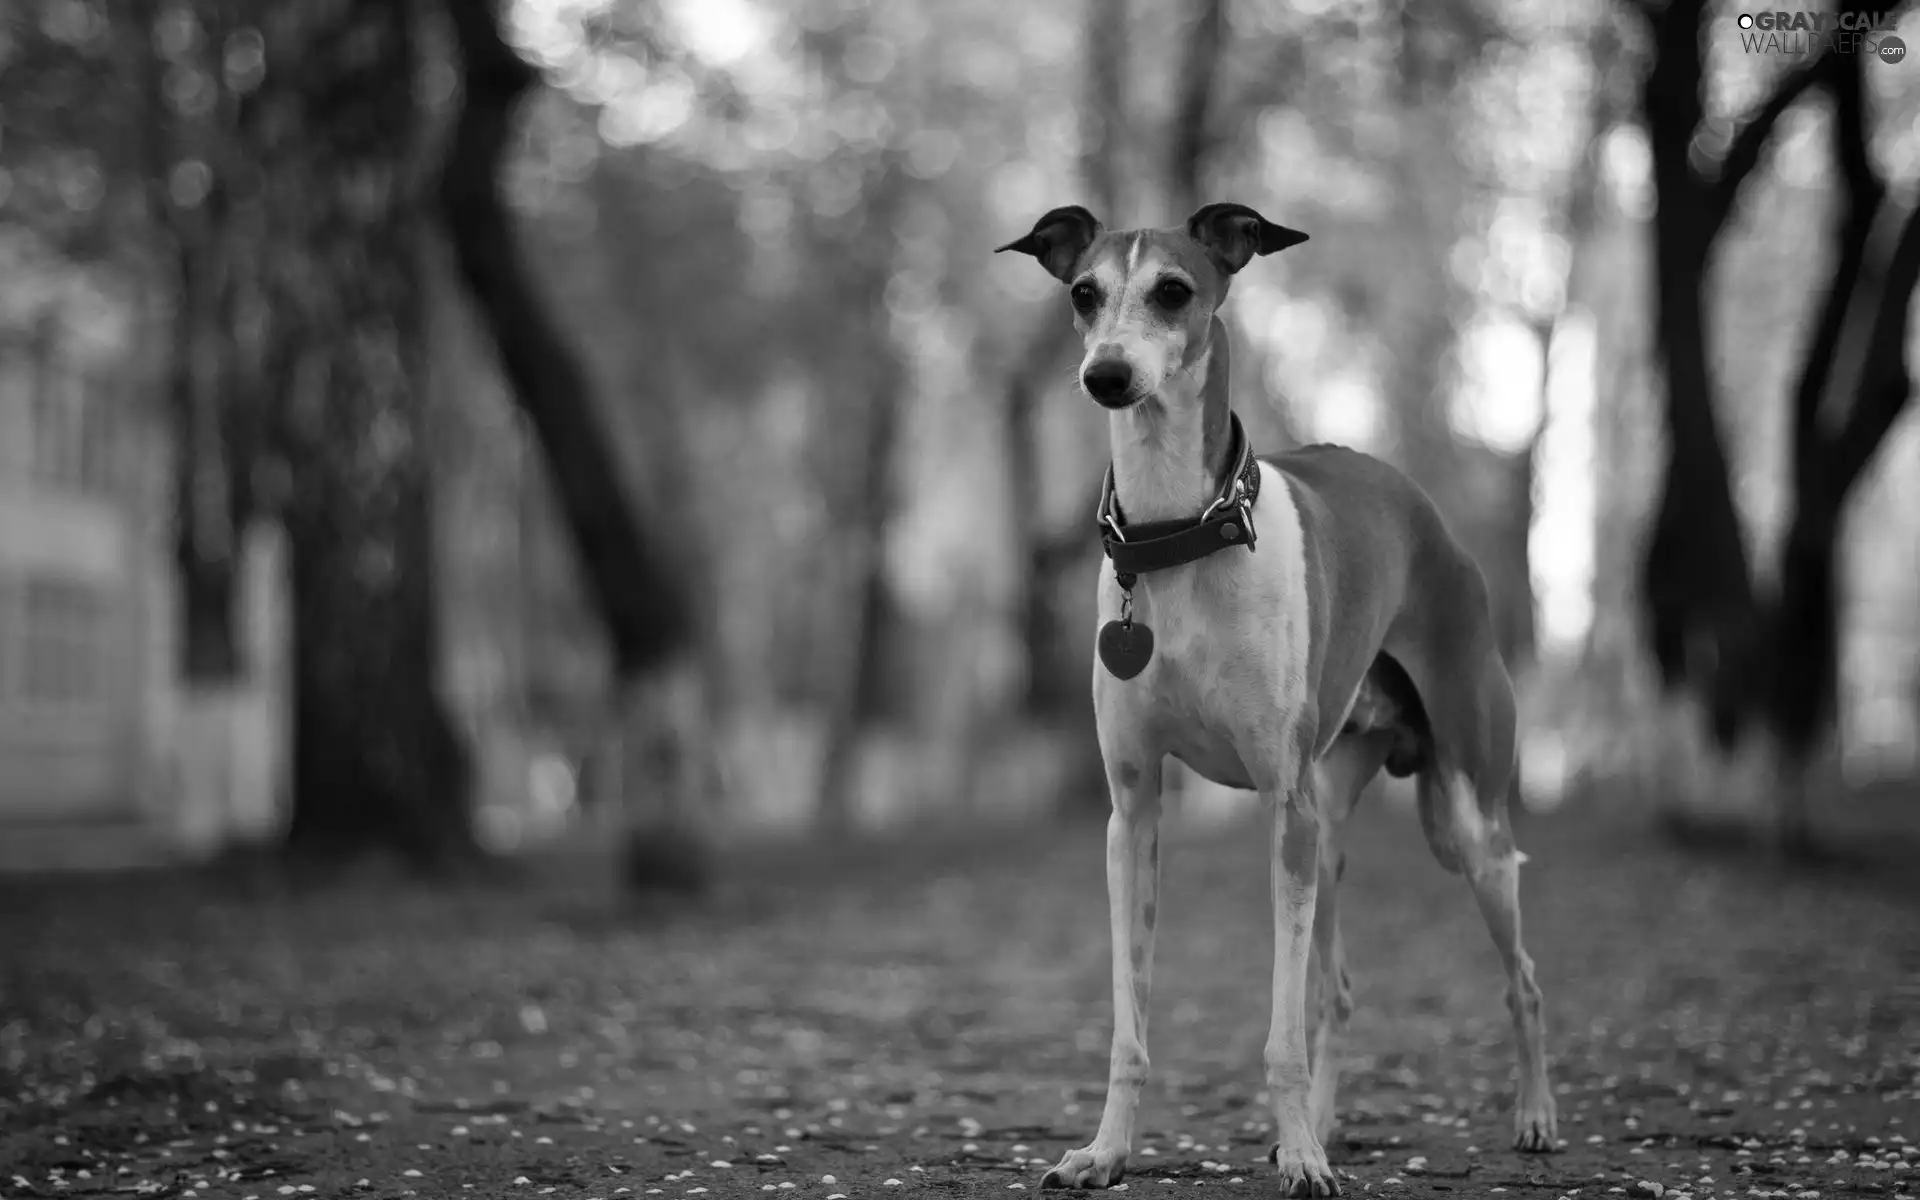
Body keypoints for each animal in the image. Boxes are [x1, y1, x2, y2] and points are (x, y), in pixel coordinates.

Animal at [998, 201, 1551, 1190]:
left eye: (1174, 291)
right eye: (1084, 293)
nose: (1107, 376)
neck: (1178, 537)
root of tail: (1420, 507)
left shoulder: (1280, 810)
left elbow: (1279, 1035)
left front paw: (1300, 1159)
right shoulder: (1133, 814)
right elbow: (1131, 1021)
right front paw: (1106, 1151)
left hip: (1462, 826)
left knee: (1520, 976)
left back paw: (1531, 1118)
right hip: (1327, 832)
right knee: (1336, 992)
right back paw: (1324, 1128)